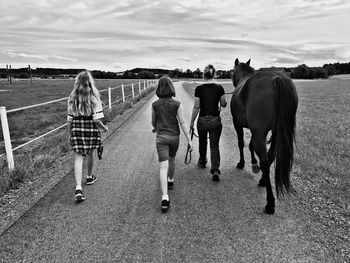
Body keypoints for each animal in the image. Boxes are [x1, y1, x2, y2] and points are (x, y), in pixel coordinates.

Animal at [230, 58, 298, 216]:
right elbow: (250, 145)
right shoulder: (255, 130)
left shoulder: (239, 124)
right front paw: (253, 163)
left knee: (265, 162)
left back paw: (270, 203)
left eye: (232, 73)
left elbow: (241, 143)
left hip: (260, 133)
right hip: (275, 131)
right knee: (270, 155)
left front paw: (242, 163)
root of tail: (277, 79)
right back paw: (262, 180)